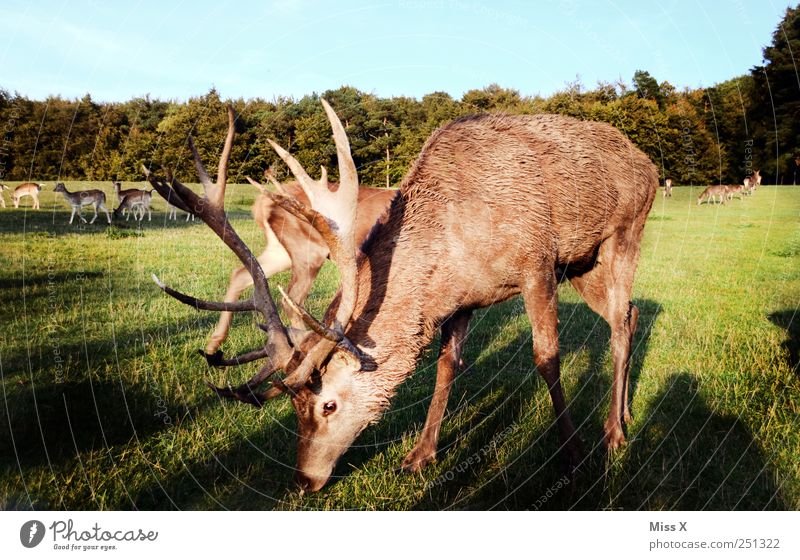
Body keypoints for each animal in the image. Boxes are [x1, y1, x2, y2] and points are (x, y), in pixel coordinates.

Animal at [144, 103, 656, 492]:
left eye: (328, 404)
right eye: (293, 409)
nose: (304, 481)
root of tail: (648, 164)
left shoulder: (537, 265)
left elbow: (546, 357)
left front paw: (572, 455)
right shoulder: (463, 300)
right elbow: (447, 366)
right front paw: (419, 455)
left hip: (623, 233)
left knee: (619, 320)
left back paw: (613, 433)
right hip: (582, 265)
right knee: (629, 313)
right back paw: (626, 412)